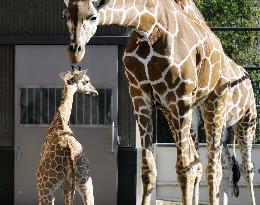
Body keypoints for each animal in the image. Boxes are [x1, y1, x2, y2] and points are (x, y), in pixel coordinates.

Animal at [35, 66, 97, 204]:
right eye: (87, 81)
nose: (95, 92)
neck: (60, 120)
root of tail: (70, 153)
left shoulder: (62, 185)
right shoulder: (67, 185)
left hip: (45, 188)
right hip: (86, 183)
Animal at [63, 0, 230, 204]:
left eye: (93, 16)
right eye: (65, 15)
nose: (75, 52)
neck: (147, 26)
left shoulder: (180, 97)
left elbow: (183, 169)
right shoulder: (139, 96)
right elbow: (148, 169)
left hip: (214, 102)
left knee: (213, 168)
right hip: (175, 111)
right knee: (196, 161)